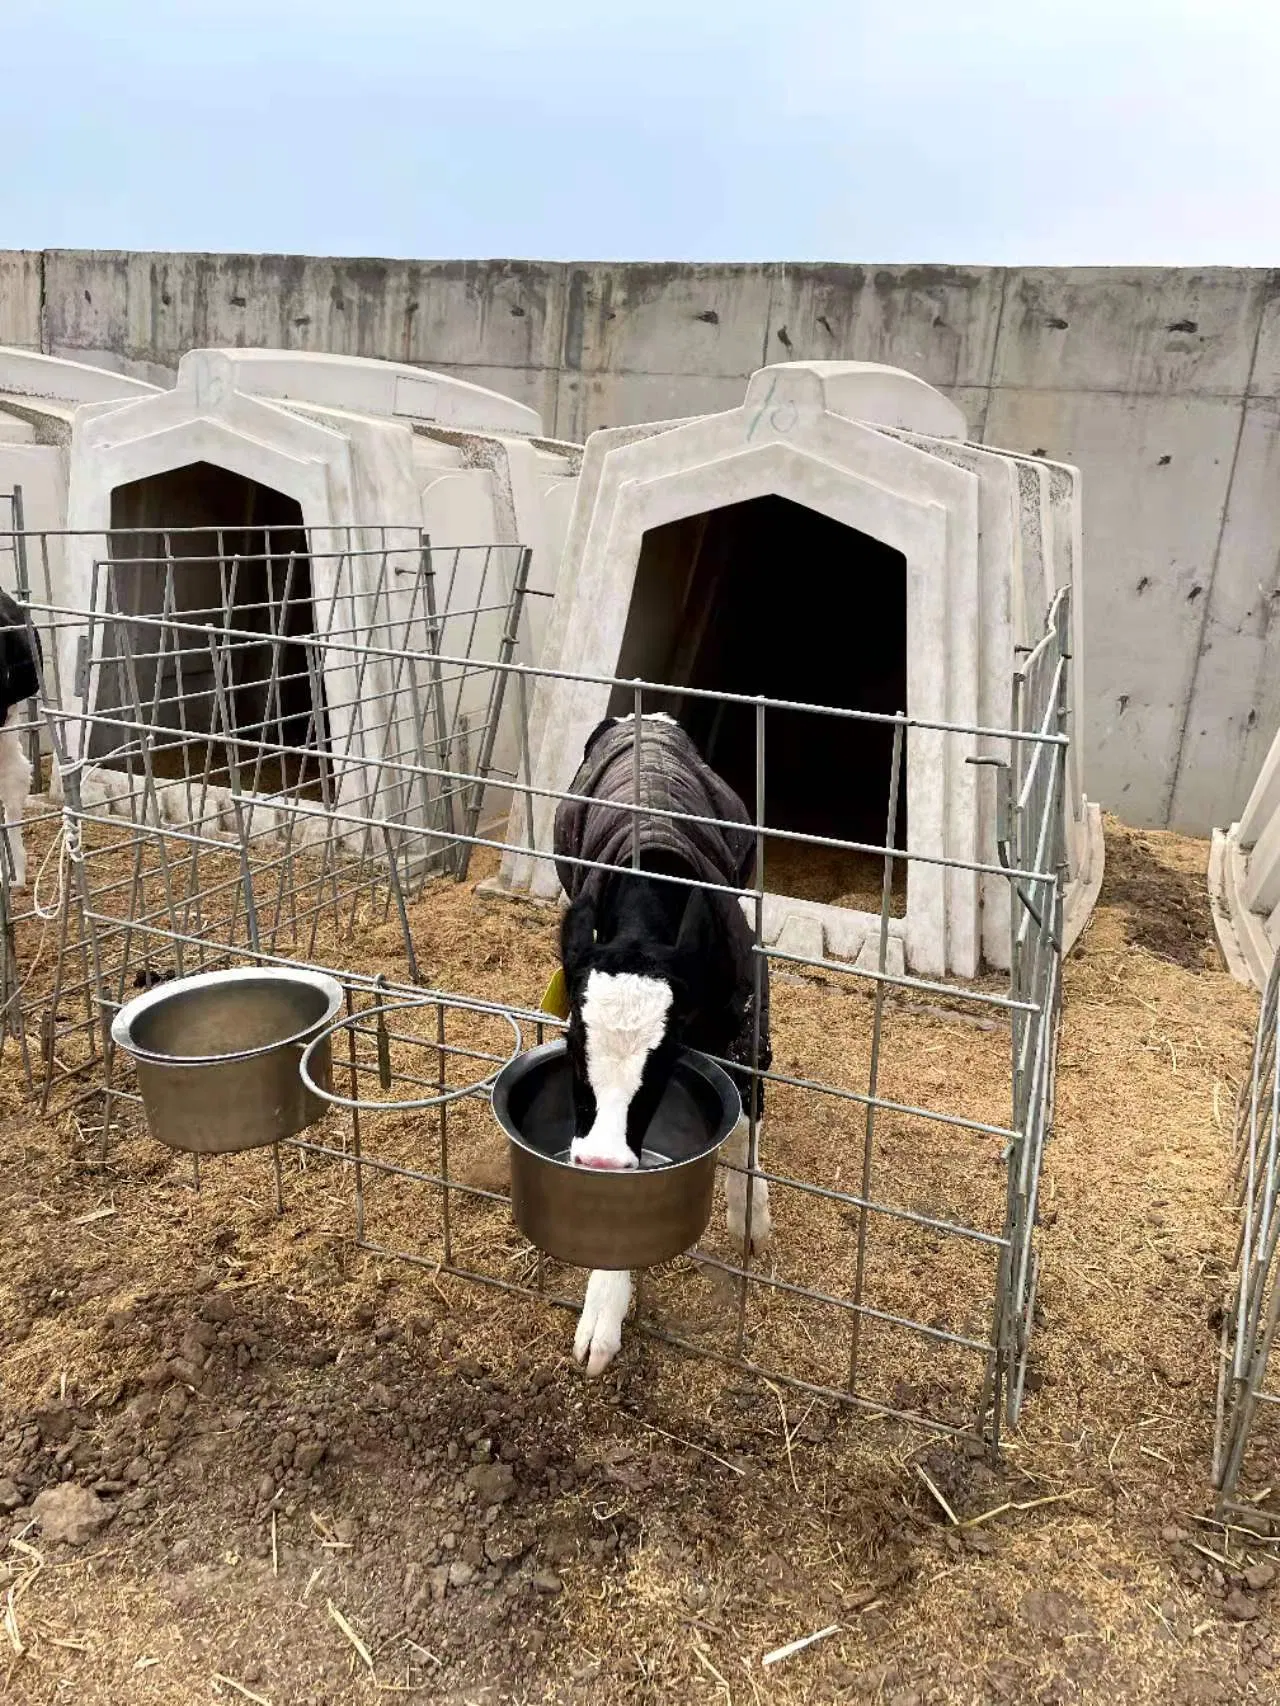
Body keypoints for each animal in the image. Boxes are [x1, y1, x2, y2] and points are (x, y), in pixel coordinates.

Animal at [553, 712, 772, 1376]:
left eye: (664, 1059)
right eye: (573, 1050)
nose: (600, 1161)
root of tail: (641, 717)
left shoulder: (747, 1016)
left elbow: (745, 1120)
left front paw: (749, 1211)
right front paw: (603, 1309)